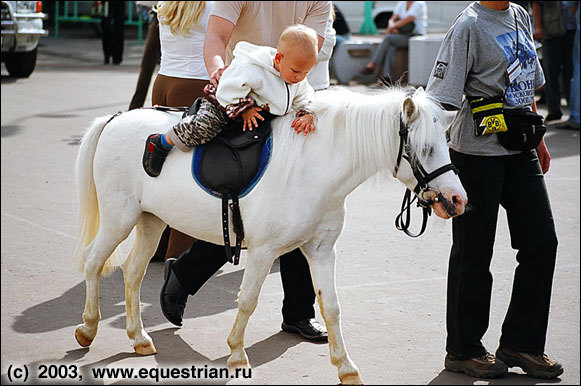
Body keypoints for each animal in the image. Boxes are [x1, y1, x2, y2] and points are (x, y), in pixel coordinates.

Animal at [73, 86, 466, 384]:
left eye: (445, 143)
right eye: (426, 148)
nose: (457, 199)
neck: (314, 167)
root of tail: (115, 119)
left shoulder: (321, 251)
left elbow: (332, 307)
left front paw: (346, 367)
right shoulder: (263, 251)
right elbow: (247, 300)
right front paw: (236, 354)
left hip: (151, 221)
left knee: (132, 272)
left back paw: (139, 338)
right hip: (119, 218)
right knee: (93, 263)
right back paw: (88, 328)